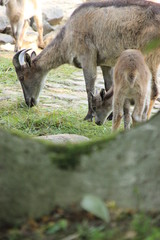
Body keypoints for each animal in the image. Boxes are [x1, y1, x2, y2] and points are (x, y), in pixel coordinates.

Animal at [12, 0, 160, 120]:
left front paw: (89, 116)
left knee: (153, 91)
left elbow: (90, 85)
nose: (29, 102)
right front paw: (110, 116)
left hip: (149, 56)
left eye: (21, 77)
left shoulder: (87, 56)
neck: (68, 37)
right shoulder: (106, 63)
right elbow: (109, 84)